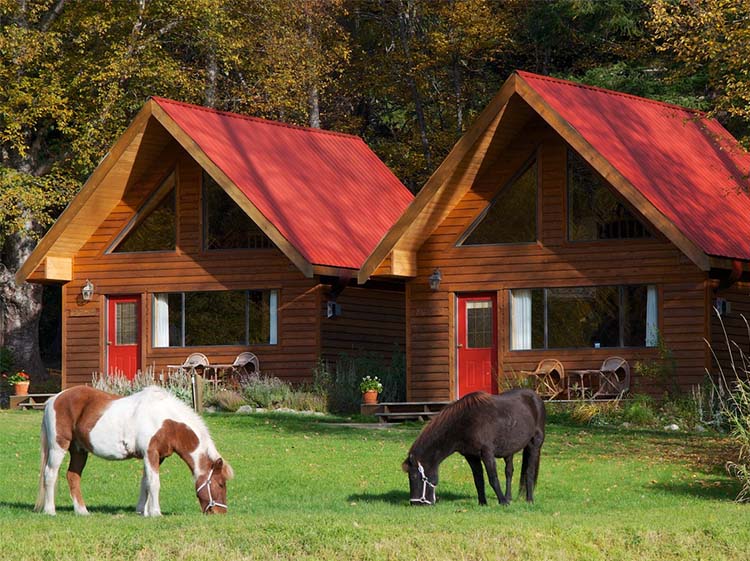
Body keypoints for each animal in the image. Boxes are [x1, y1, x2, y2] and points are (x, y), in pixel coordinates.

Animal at [35, 385, 233, 516]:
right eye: (220, 484)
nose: (220, 512)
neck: (166, 421)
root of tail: (53, 399)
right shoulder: (151, 453)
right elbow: (154, 483)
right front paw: (155, 513)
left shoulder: (156, 457)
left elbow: (146, 482)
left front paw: (142, 511)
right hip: (59, 446)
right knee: (50, 474)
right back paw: (50, 511)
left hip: (79, 450)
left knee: (73, 476)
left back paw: (82, 511)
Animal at [402, 389, 545, 506]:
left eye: (413, 476)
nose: (415, 503)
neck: (465, 422)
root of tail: (536, 397)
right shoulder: (471, 456)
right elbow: (478, 479)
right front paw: (483, 502)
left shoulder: (487, 453)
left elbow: (493, 478)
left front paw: (503, 502)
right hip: (509, 451)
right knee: (509, 471)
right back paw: (508, 497)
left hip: (534, 444)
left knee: (529, 471)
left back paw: (529, 500)